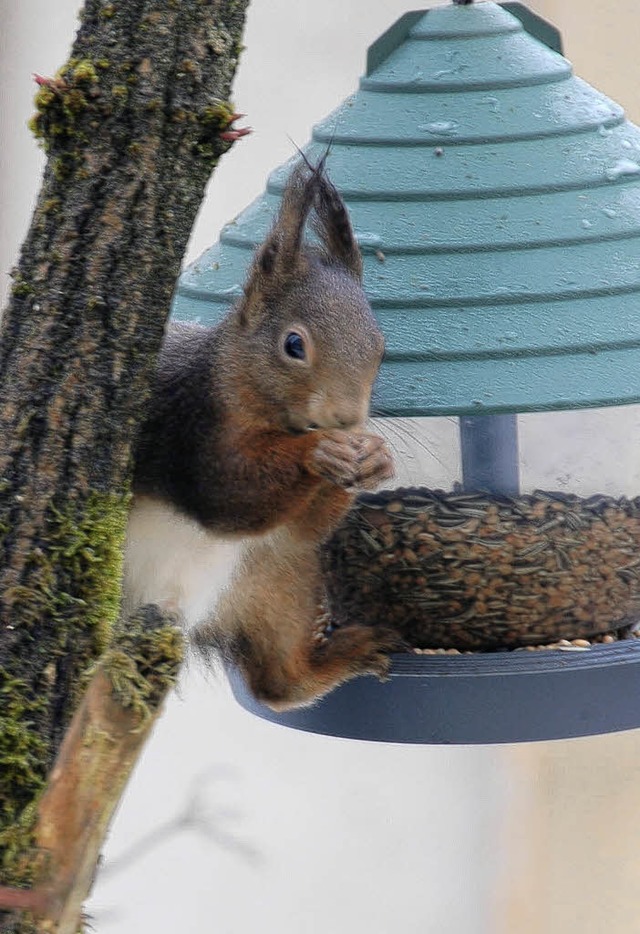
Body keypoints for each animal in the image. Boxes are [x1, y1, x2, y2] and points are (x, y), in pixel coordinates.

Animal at [124, 161, 402, 712]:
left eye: (381, 348)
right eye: (293, 345)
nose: (347, 420)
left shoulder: (290, 536)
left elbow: (302, 526)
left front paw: (376, 459)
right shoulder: (191, 429)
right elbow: (230, 496)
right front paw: (318, 452)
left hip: (274, 577)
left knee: (278, 683)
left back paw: (347, 655)